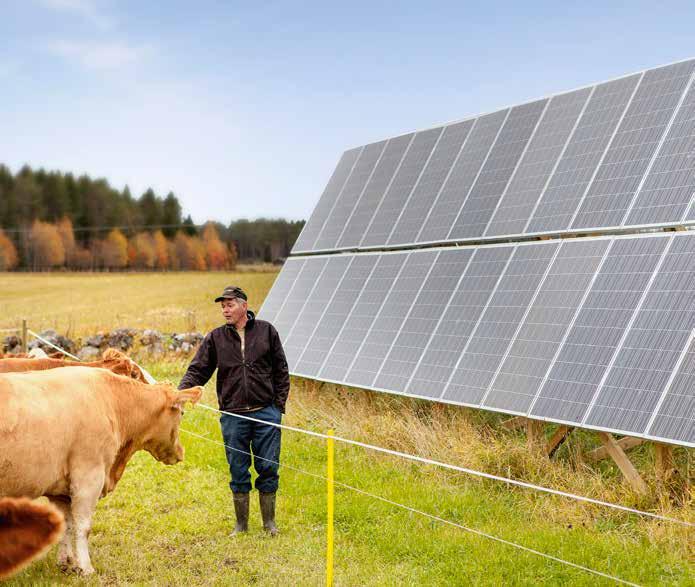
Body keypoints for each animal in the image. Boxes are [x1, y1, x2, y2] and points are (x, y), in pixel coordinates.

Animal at [0, 368, 203, 576]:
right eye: (182, 413)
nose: (181, 453)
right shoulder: (90, 475)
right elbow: (83, 526)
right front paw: (86, 568)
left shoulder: (61, 490)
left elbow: (66, 524)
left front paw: (66, 562)